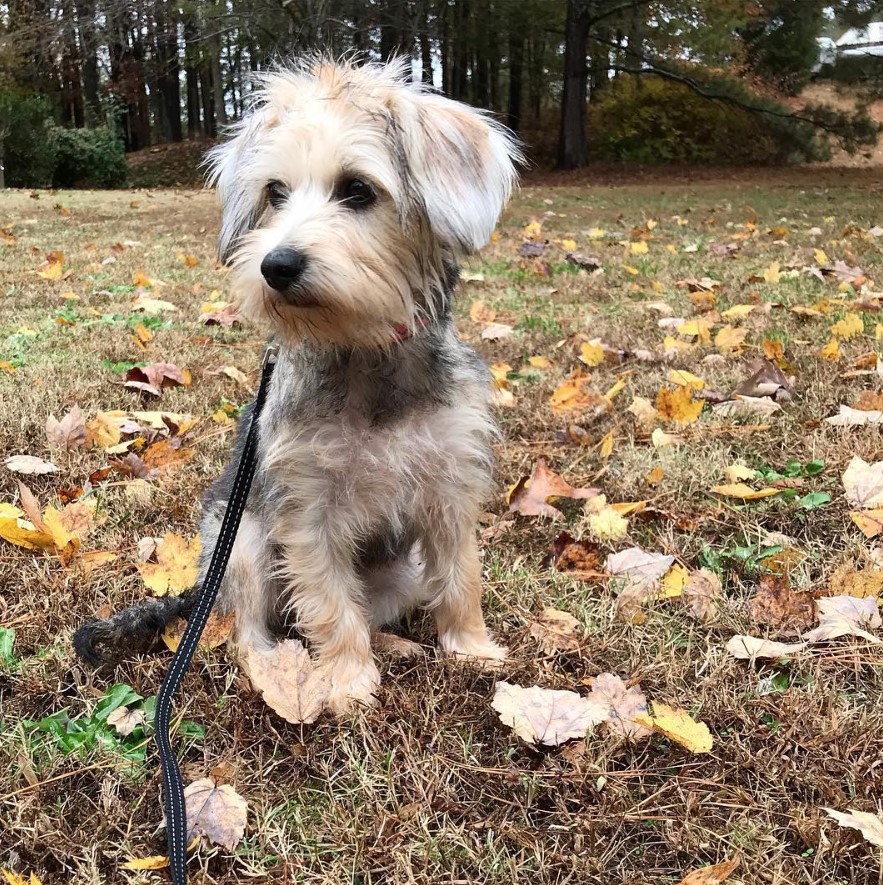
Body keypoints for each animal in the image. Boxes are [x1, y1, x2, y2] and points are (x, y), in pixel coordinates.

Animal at [74, 55, 524, 708]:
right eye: (274, 193)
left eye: (358, 189)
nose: (275, 265)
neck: (362, 354)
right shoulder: (308, 516)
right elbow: (331, 604)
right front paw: (348, 681)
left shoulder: (449, 490)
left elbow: (460, 576)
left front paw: (471, 648)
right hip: (241, 544)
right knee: (249, 623)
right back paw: (271, 664)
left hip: (399, 572)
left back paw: (397, 645)